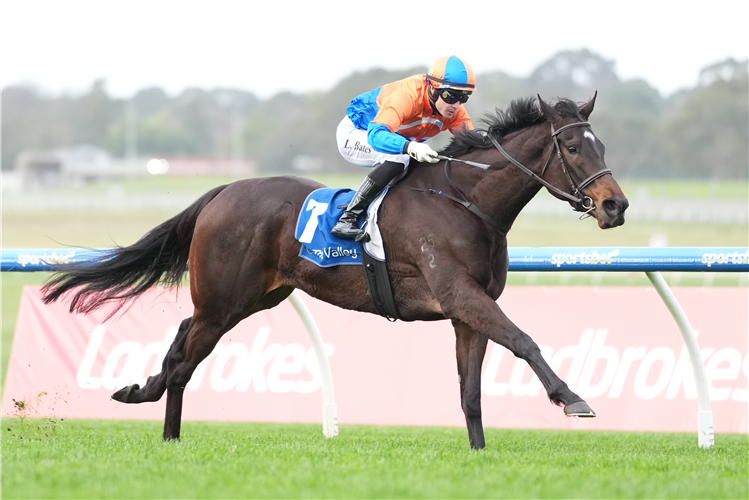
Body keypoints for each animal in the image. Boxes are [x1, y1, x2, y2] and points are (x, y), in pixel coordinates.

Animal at [42, 94, 629, 450]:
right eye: (572, 146)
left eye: (602, 144)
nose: (615, 205)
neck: (467, 201)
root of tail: (222, 191)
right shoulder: (462, 296)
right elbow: (524, 340)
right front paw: (573, 400)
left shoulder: (468, 311)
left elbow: (471, 391)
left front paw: (480, 454)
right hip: (224, 299)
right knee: (187, 358)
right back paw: (159, 420)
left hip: (253, 297)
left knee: (183, 339)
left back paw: (153, 406)